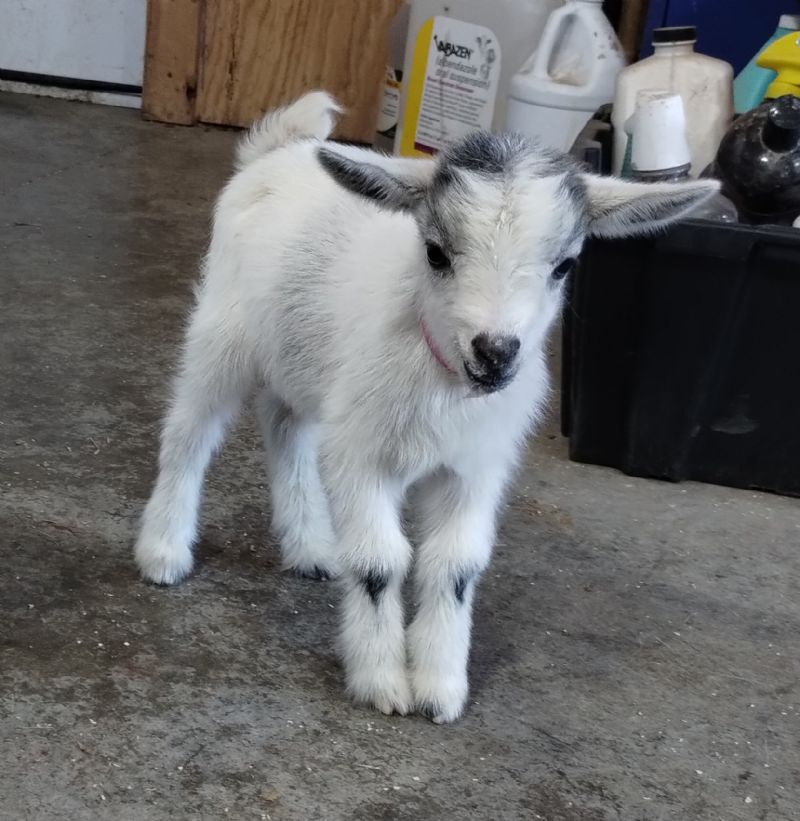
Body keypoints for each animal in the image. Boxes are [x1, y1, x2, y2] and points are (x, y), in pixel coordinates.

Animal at [135, 92, 717, 723]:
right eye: (436, 254)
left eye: (565, 265)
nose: (494, 354)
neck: (442, 376)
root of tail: (279, 150)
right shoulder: (363, 458)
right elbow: (380, 562)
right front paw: (383, 682)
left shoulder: (474, 471)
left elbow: (455, 565)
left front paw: (440, 687)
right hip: (222, 334)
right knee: (189, 436)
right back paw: (164, 552)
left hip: (307, 368)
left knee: (286, 427)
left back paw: (312, 548)